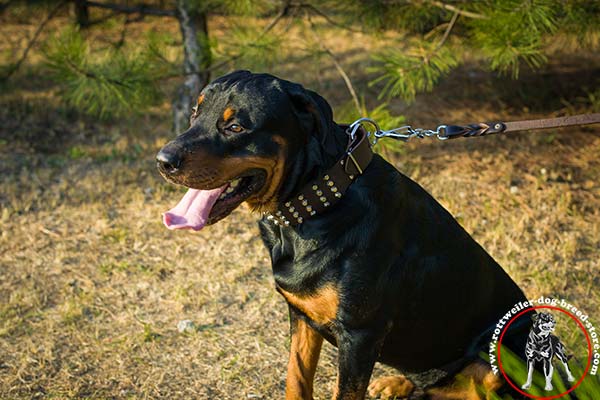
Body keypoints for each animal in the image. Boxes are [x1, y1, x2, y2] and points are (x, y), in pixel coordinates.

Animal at [157, 70, 532, 398]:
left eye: (235, 126)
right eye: (194, 114)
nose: (162, 160)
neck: (315, 203)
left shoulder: (360, 335)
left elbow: (345, 392)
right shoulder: (302, 316)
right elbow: (296, 378)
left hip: (502, 349)